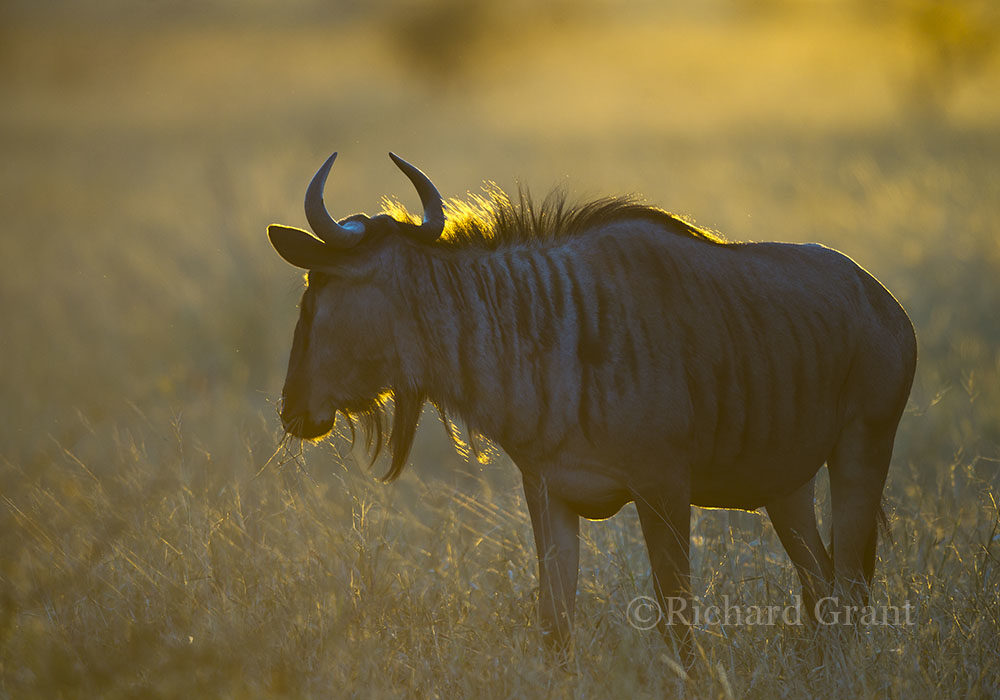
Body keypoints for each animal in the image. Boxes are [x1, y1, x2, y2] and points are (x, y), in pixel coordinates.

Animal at [267, 152, 917, 666]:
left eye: (315, 288)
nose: (292, 409)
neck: (544, 328)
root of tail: (885, 303)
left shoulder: (663, 490)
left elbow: (678, 621)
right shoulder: (549, 494)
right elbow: (555, 626)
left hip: (863, 452)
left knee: (850, 586)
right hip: (787, 488)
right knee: (821, 585)